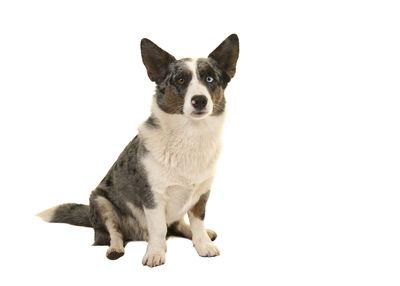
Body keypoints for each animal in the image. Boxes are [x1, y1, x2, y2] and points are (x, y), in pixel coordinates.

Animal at [38, 34, 238, 268]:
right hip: (100, 201)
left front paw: (203, 244)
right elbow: (158, 229)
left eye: (209, 79)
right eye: (180, 80)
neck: (189, 135)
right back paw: (116, 248)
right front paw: (155, 253)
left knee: (178, 225)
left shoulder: (201, 194)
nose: (199, 100)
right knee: (114, 233)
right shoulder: (152, 196)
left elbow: (197, 222)